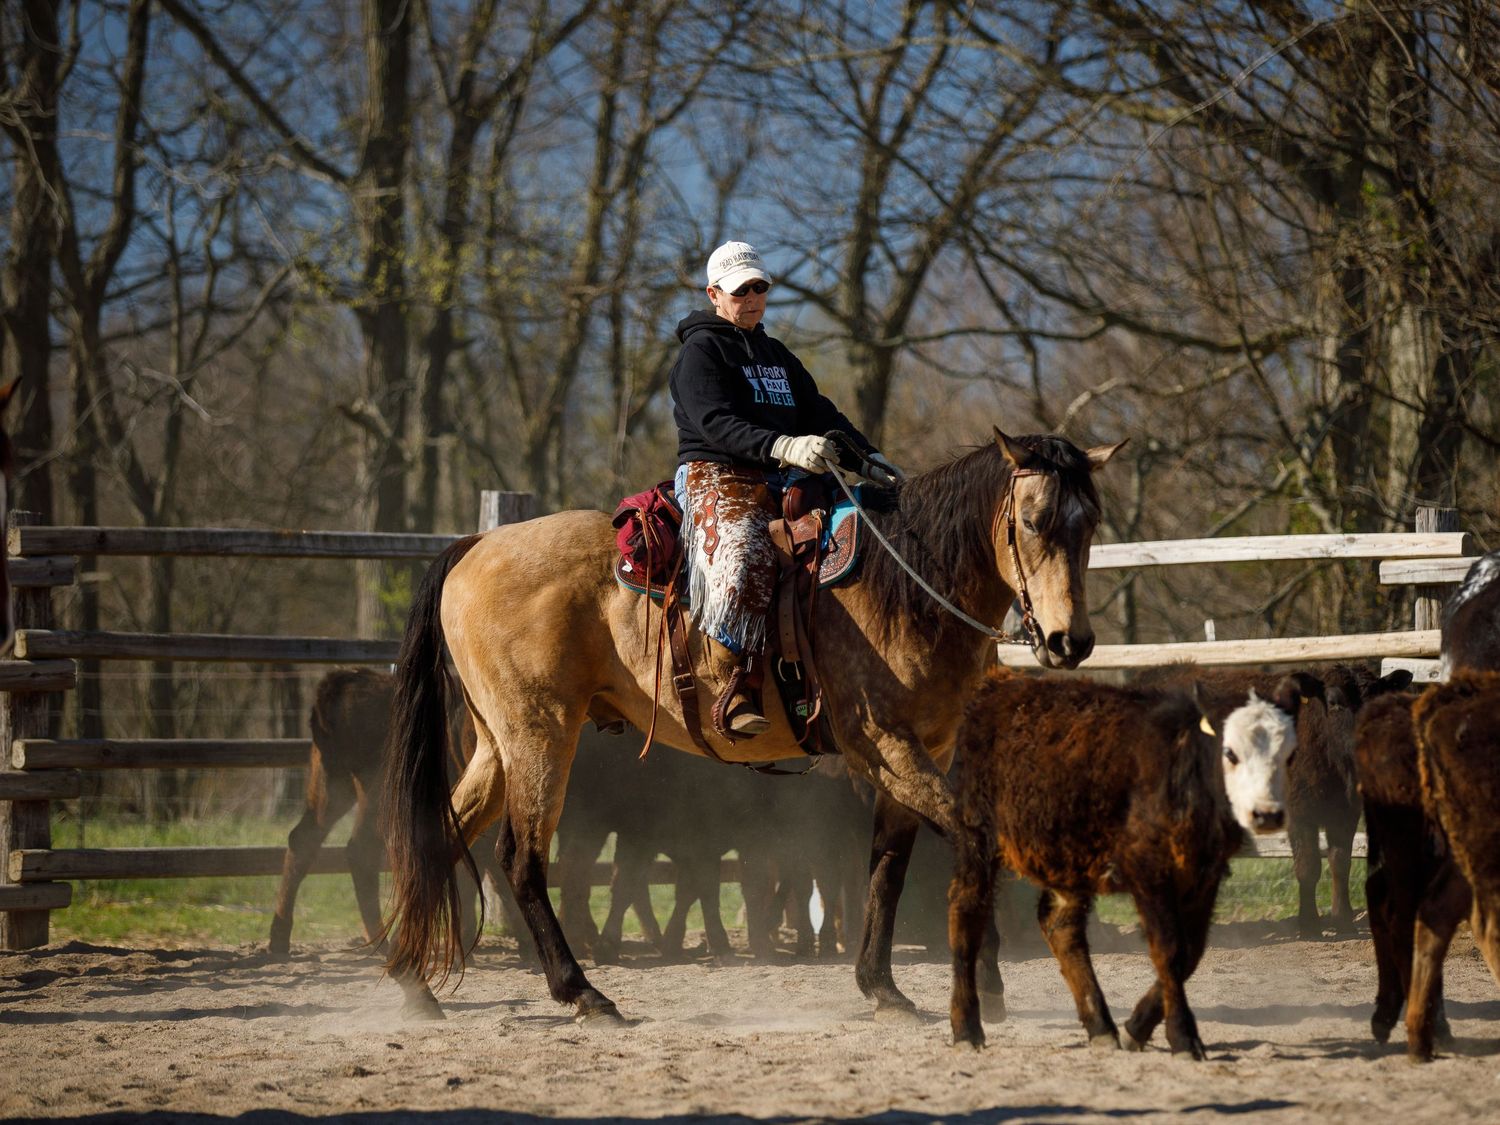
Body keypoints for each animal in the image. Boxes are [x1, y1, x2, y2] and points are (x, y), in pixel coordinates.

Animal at [948, 669, 1304, 1055]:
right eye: (1230, 752)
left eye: (1290, 754)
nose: (1267, 814)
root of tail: (999, 687)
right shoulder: (1148, 871)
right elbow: (1170, 950)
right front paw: (1183, 1036)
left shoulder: (1206, 873)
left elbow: (1192, 952)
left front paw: (1137, 1026)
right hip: (977, 833)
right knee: (967, 912)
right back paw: (966, 1027)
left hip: (1069, 853)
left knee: (1060, 924)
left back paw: (1101, 1026)